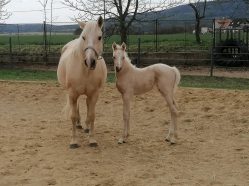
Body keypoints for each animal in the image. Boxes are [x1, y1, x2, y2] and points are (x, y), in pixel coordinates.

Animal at [57, 17, 107, 148]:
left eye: (99, 37)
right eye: (83, 37)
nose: (90, 61)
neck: (85, 71)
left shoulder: (94, 94)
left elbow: (91, 115)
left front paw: (92, 139)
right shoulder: (72, 94)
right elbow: (73, 116)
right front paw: (74, 141)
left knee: (87, 106)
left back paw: (86, 127)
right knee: (78, 107)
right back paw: (79, 124)